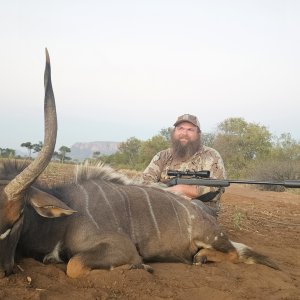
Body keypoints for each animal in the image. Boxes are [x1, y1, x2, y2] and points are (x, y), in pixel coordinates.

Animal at [0, 49, 278, 278]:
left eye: (18, 216)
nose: (3, 271)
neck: (60, 222)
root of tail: (204, 212)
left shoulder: (120, 247)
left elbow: (74, 265)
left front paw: (140, 267)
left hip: (212, 237)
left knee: (234, 254)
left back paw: (201, 257)